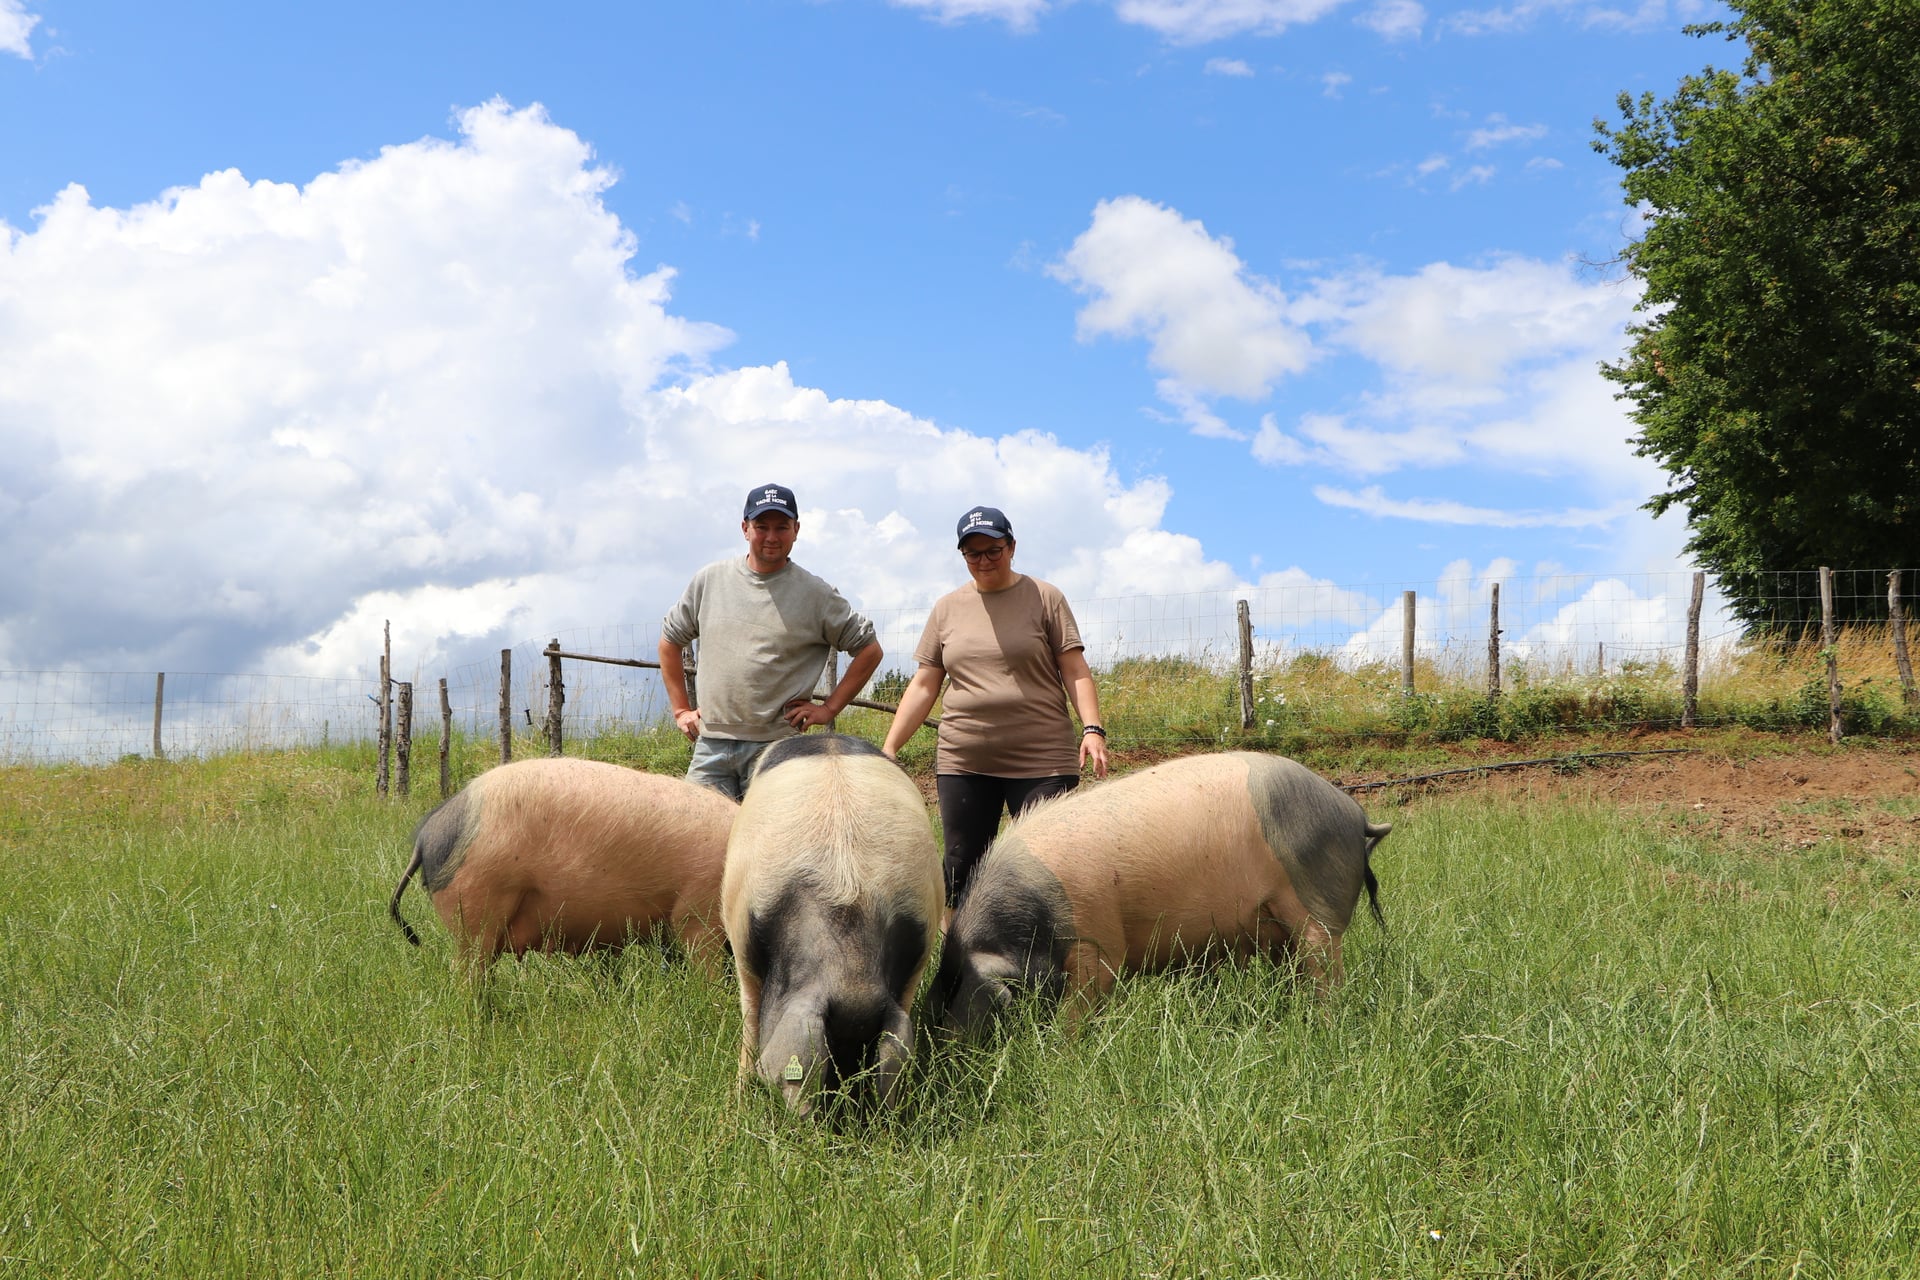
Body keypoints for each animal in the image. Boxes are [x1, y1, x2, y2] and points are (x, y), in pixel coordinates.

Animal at [720, 733, 943, 1115]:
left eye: (864, 1046)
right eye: (833, 1043)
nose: (848, 1101)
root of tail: (829, 736)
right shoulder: (742, 939)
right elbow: (750, 1021)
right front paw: (737, 1105)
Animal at [933, 751, 1390, 1038]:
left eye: (960, 988)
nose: (949, 1045)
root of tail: (1354, 812)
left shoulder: (1096, 941)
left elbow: (1081, 1006)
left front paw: (1066, 1053)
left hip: (1316, 902)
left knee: (1324, 968)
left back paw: (1322, 1024)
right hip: (1275, 924)